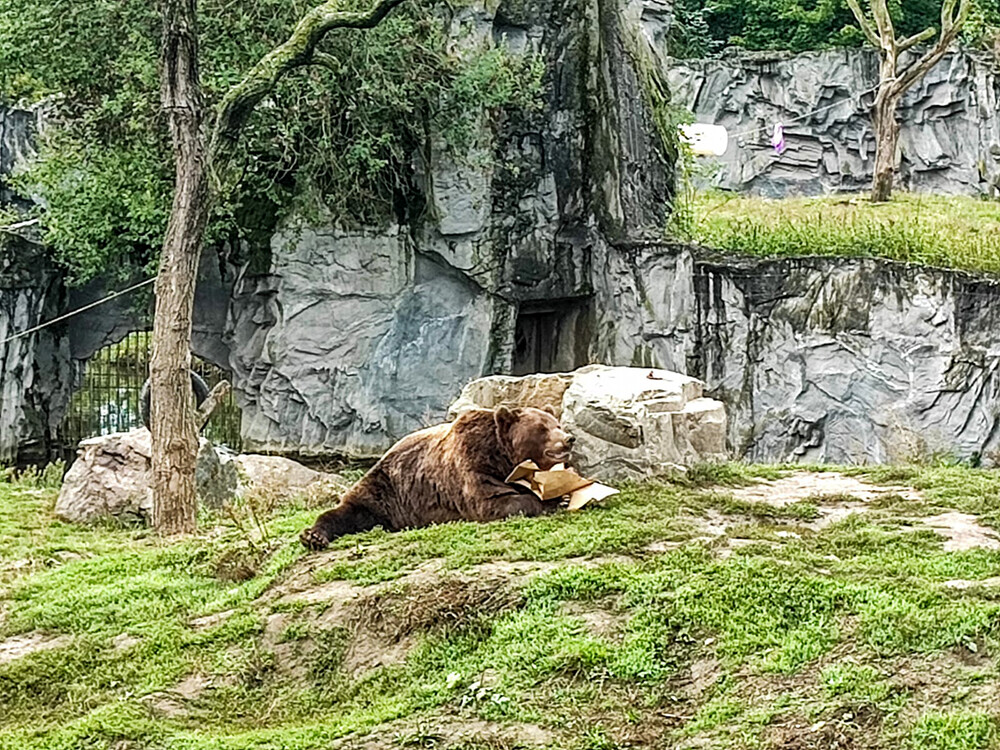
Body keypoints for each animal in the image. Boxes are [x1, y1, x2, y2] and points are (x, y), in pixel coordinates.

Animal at [296, 408, 576, 548]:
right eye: (542, 428)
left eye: (557, 423)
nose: (568, 439)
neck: (503, 458)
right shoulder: (472, 466)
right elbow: (494, 502)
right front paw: (550, 502)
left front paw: (559, 495)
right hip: (384, 490)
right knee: (348, 512)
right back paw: (313, 536)